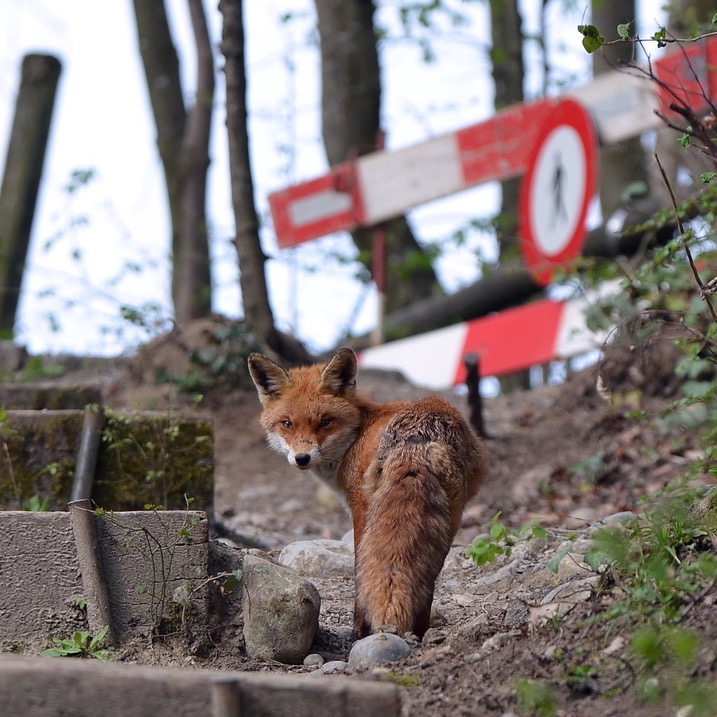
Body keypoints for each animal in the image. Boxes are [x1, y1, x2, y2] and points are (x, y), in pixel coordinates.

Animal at [248, 346, 486, 636]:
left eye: (325, 422)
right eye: (287, 423)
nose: (302, 458)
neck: (357, 434)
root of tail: (419, 435)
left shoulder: (358, 506)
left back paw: (362, 631)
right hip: (450, 518)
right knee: (428, 576)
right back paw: (419, 631)